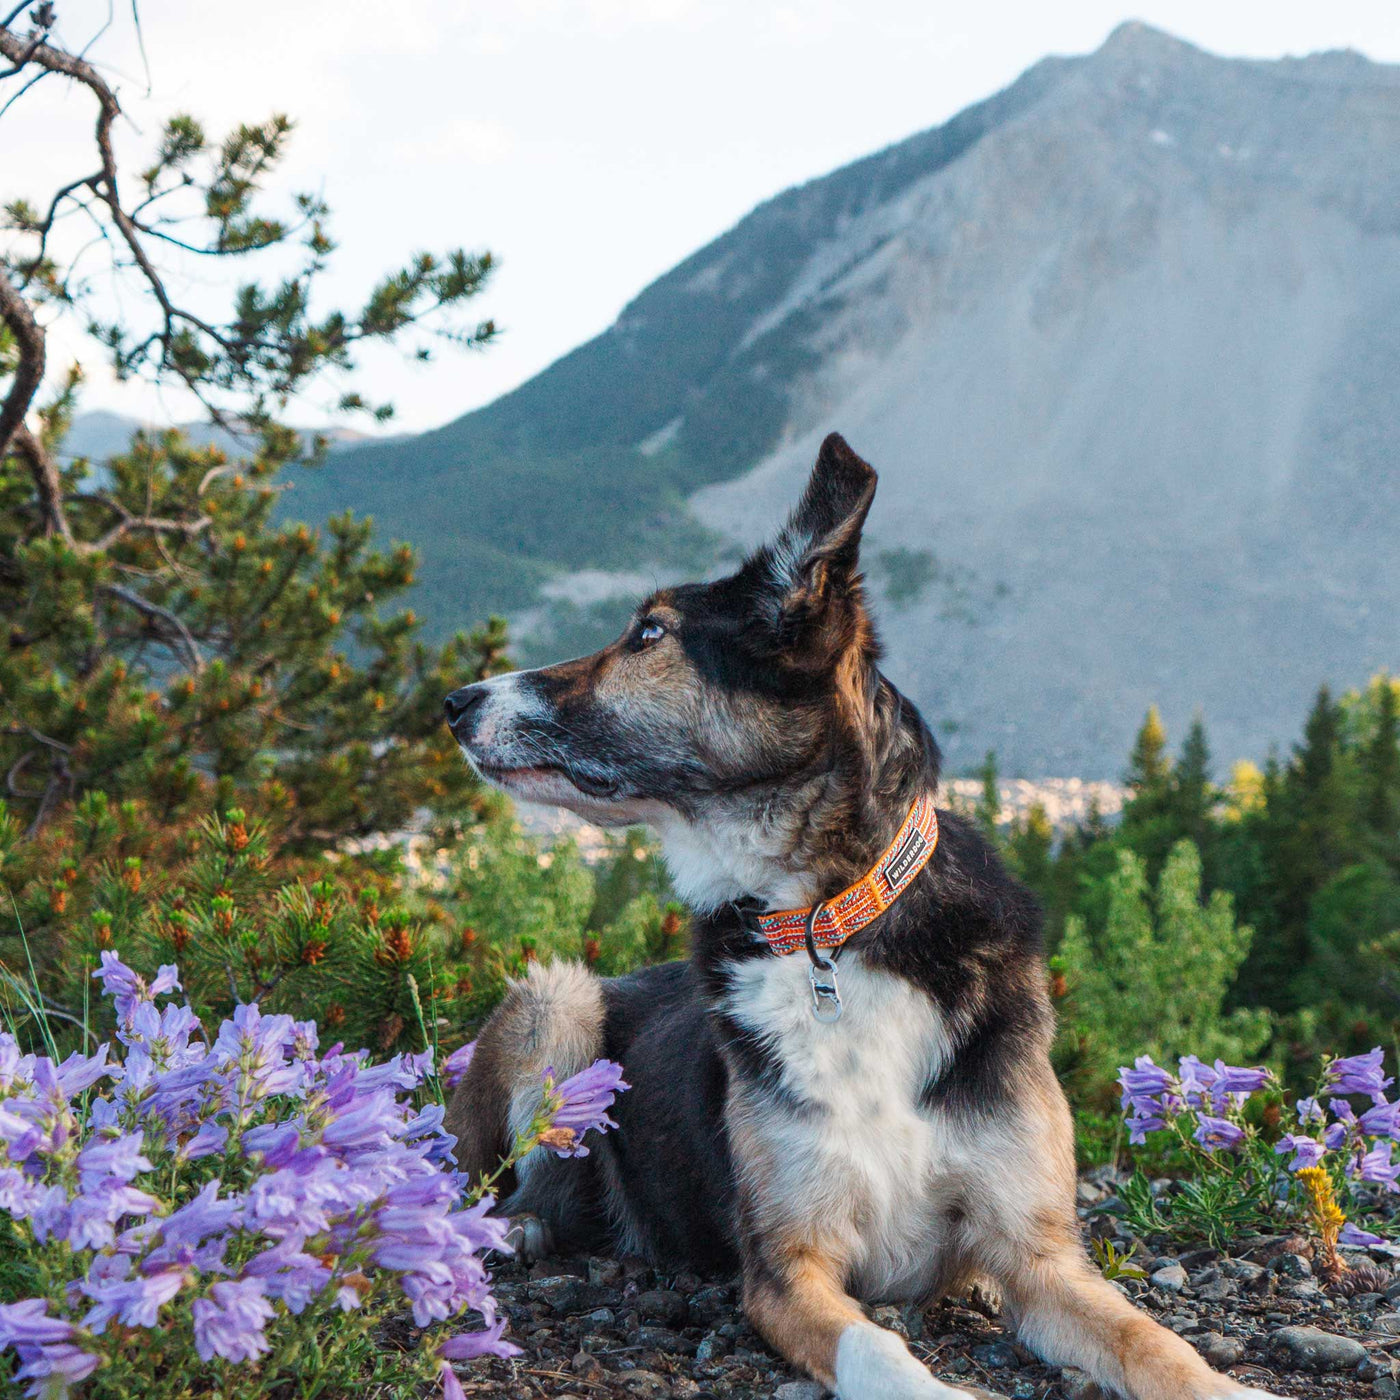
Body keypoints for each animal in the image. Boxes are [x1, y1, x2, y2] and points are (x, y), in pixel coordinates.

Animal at [439, 436, 1282, 1400]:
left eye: (648, 635)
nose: (455, 702)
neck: (824, 926)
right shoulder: (786, 1268)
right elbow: (879, 1349)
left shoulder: (1039, 1260)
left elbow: (1152, 1340)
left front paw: (1226, 1386)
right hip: (559, 1001)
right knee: (494, 1182)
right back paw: (513, 1228)